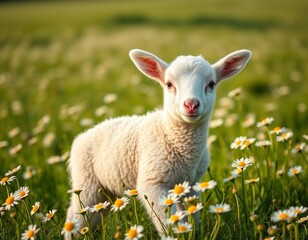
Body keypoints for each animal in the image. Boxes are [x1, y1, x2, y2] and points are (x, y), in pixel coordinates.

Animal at [65, 48, 250, 234]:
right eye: (168, 84)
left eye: (211, 84)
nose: (191, 104)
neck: (169, 133)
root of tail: (82, 136)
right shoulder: (152, 183)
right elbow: (167, 221)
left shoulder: (191, 184)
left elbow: (191, 215)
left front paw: (191, 231)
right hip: (86, 182)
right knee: (75, 214)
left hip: (104, 191)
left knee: (96, 215)